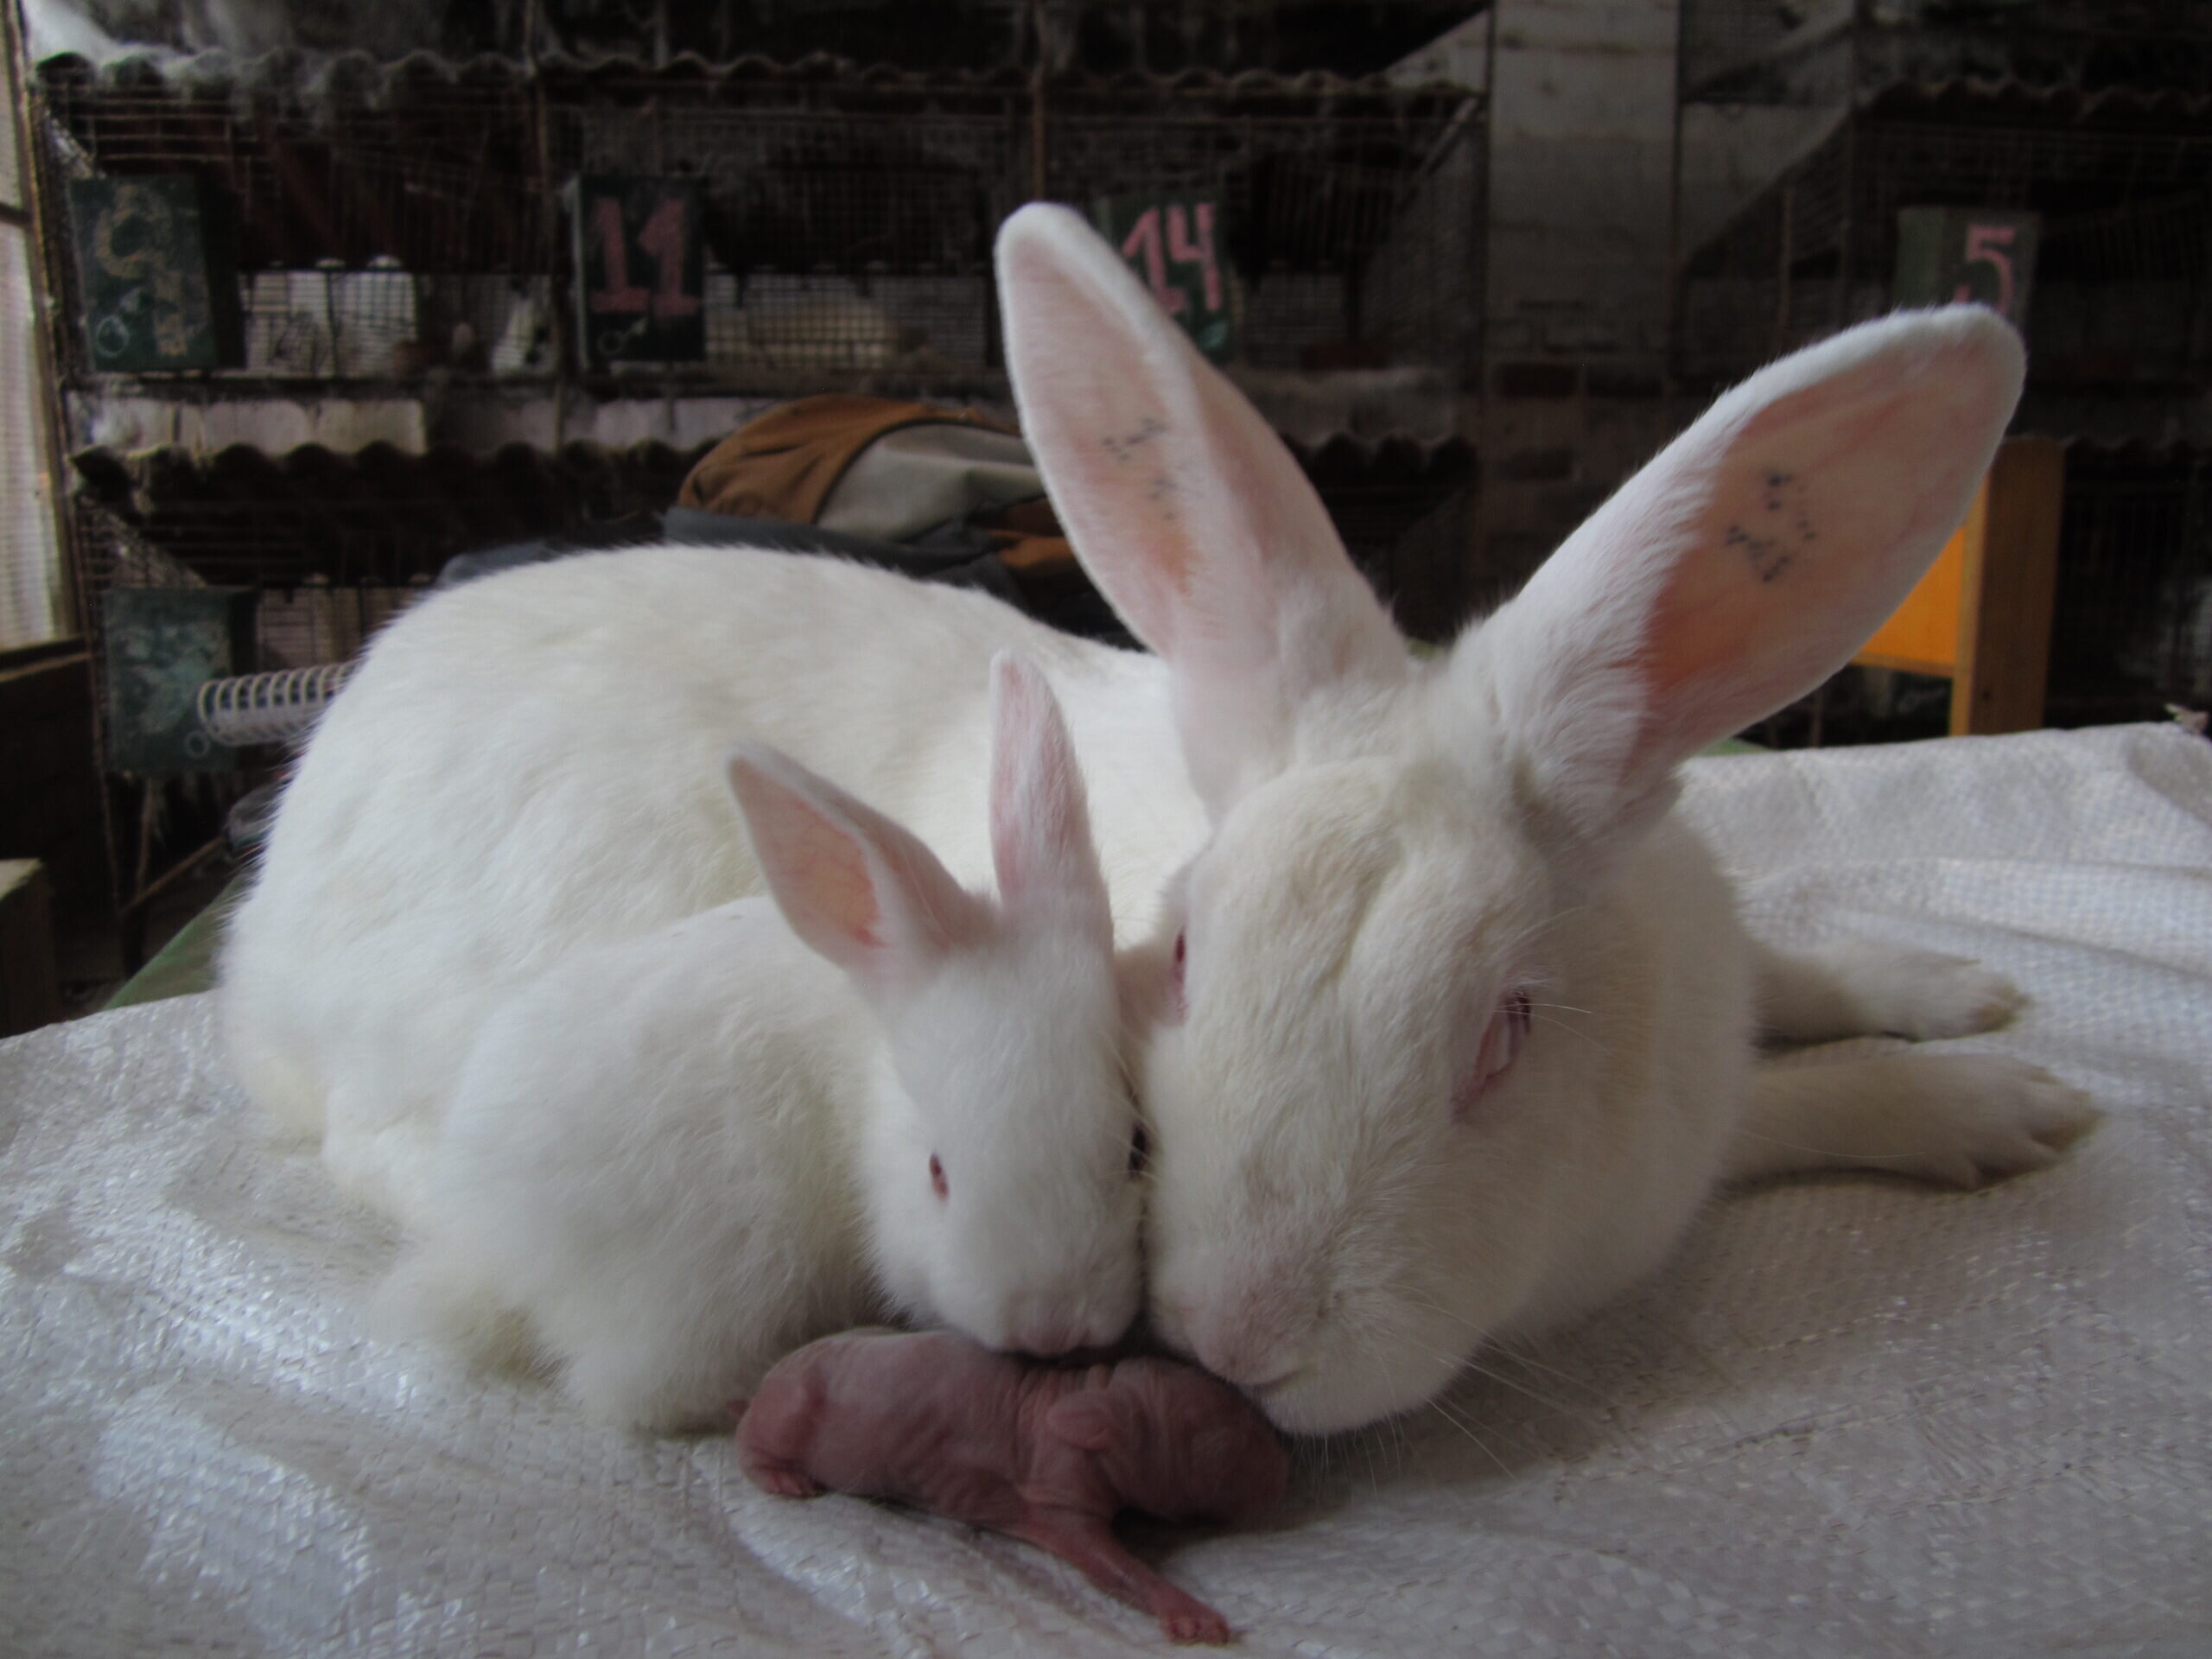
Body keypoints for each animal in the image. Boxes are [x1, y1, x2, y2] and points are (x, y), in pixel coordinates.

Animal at [375, 652, 1146, 1429]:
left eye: (1136, 1148)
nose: (1053, 1327)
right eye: (937, 1173)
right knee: (638, 1392)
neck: (873, 1069)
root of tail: (491, 1245)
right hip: (721, 1272)